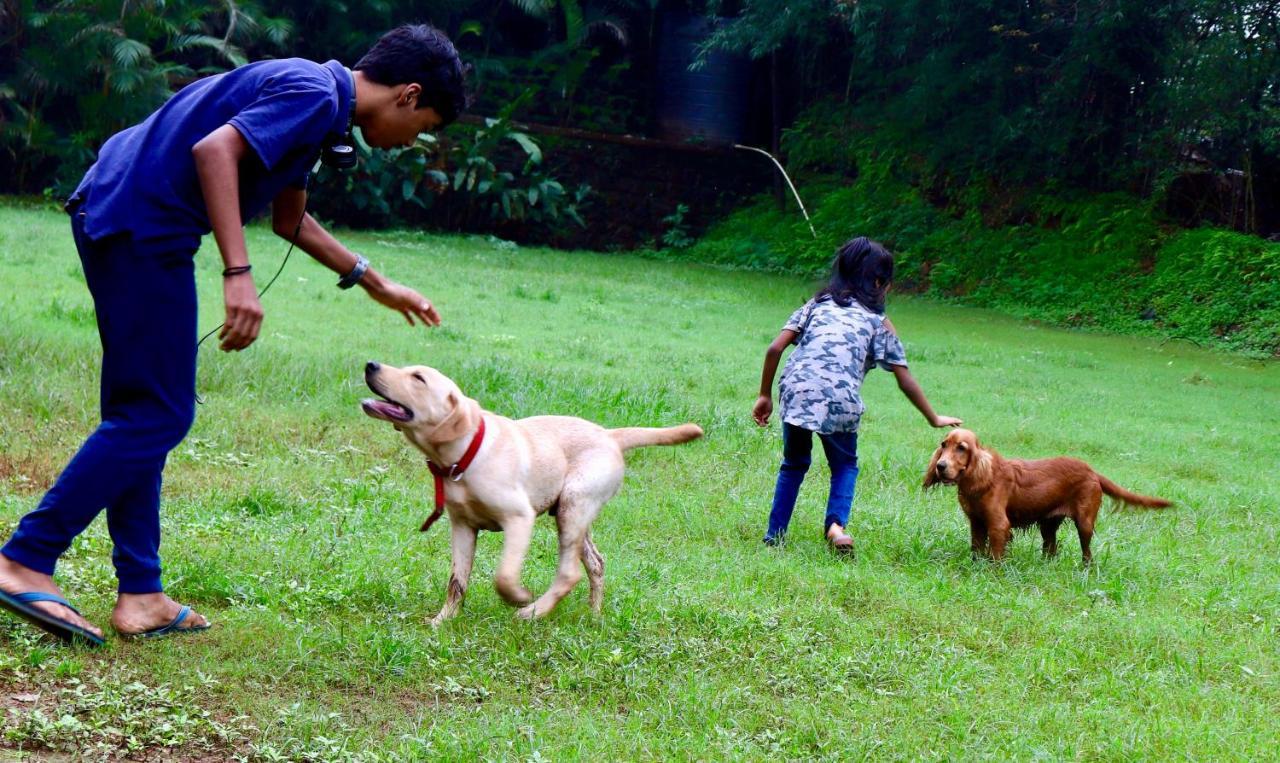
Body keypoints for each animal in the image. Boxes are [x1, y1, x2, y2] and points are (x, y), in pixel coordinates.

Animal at [358, 361, 701, 619]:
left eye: (418, 378)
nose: (371, 364)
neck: (466, 454)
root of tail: (609, 435)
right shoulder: (462, 526)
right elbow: (457, 581)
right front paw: (443, 621)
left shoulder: (519, 518)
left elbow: (504, 575)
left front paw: (518, 597)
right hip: (574, 510)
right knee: (596, 563)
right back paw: (593, 615)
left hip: (573, 505)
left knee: (569, 573)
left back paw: (533, 612)